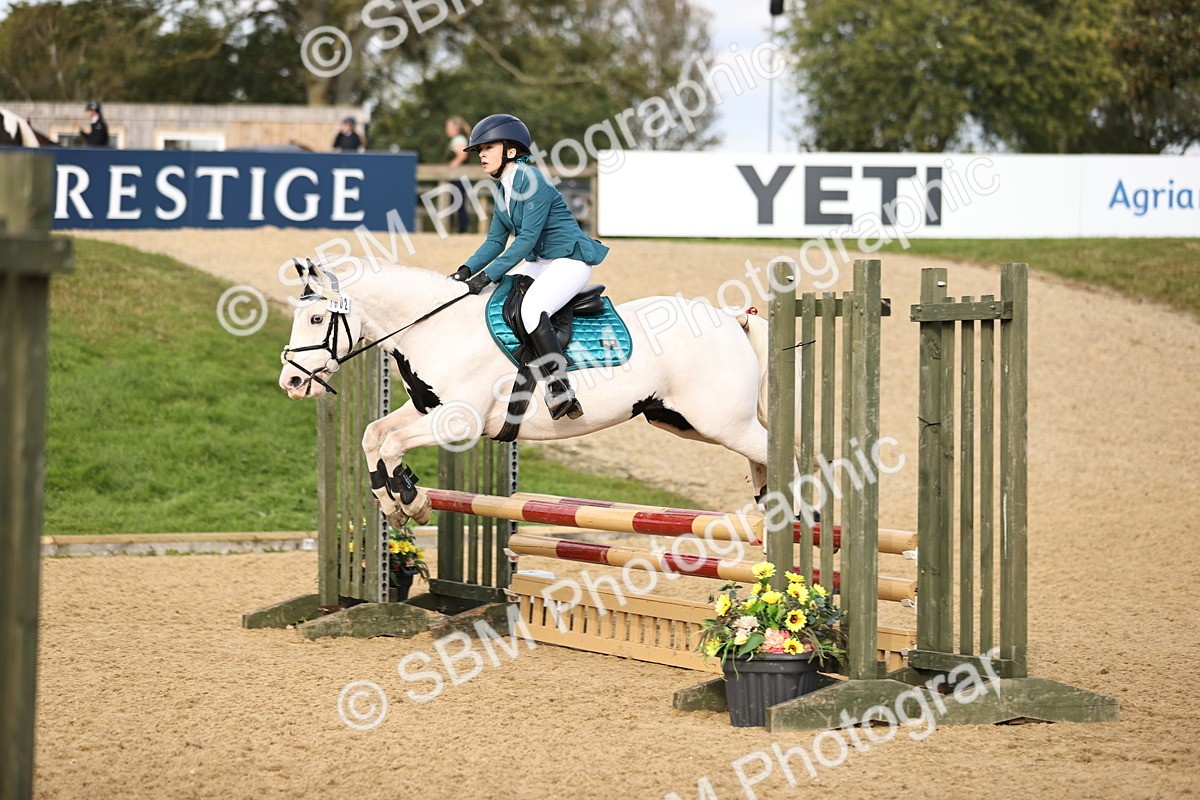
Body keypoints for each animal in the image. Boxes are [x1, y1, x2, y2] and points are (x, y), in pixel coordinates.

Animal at [278, 261, 786, 528]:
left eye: (317, 320)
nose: (291, 383)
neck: (436, 328)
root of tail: (730, 318)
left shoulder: (459, 422)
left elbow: (391, 443)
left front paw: (410, 498)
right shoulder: (427, 408)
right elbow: (374, 435)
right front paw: (394, 501)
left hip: (719, 421)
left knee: (772, 450)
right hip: (682, 420)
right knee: (759, 456)